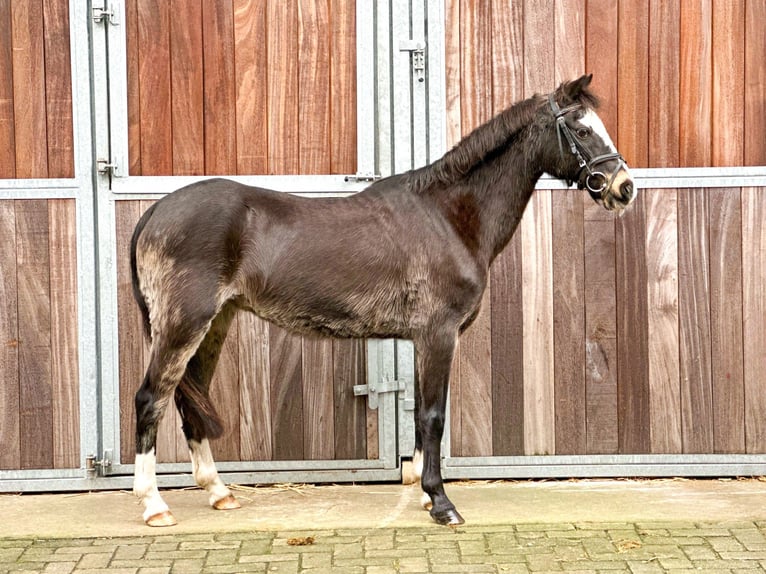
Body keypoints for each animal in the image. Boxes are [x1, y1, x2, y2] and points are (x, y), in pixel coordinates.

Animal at [130, 74, 636, 528]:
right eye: (582, 130)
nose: (624, 188)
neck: (448, 216)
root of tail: (156, 211)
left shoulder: (423, 339)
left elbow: (421, 414)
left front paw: (424, 493)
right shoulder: (438, 335)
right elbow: (433, 416)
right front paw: (442, 503)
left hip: (214, 325)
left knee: (188, 401)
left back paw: (218, 492)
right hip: (184, 323)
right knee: (151, 399)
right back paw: (155, 505)